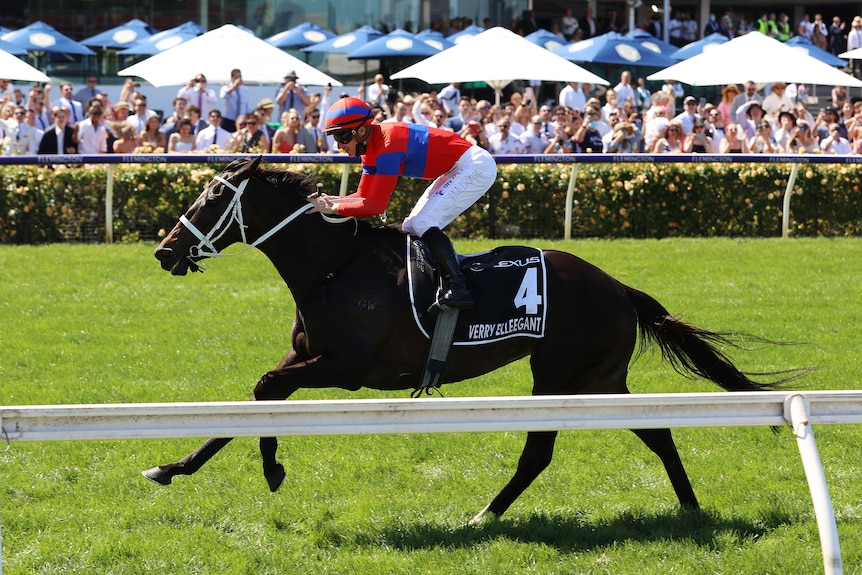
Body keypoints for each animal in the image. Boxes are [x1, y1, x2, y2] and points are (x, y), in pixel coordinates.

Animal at [148, 155, 804, 524]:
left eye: (211, 198)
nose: (165, 251)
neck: (334, 266)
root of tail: (617, 286)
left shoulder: (348, 368)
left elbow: (265, 390)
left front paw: (271, 469)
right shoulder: (306, 356)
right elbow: (258, 399)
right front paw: (175, 467)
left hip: (560, 376)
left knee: (540, 453)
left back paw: (485, 515)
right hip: (600, 378)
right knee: (657, 432)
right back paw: (689, 508)